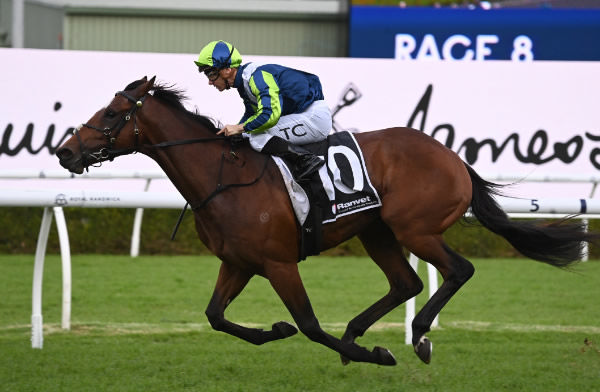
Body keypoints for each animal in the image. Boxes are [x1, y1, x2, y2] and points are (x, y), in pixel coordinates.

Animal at [55, 76, 596, 364]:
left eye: (110, 114)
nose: (64, 152)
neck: (224, 177)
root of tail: (454, 157)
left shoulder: (278, 263)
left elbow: (311, 325)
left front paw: (375, 354)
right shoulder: (239, 262)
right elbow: (216, 316)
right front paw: (273, 331)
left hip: (414, 228)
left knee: (457, 270)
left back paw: (417, 335)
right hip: (378, 232)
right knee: (405, 283)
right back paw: (358, 333)